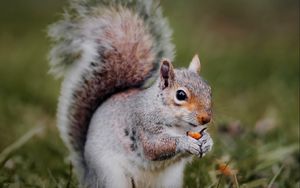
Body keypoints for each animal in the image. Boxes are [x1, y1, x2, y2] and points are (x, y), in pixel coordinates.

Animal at [48, 0, 213, 188]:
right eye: (181, 95)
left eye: (209, 91)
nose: (206, 119)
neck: (180, 125)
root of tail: (88, 176)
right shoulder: (143, 126)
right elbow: (153, 147)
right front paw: (185, 142)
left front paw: (208, 141)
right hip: (110, 176)